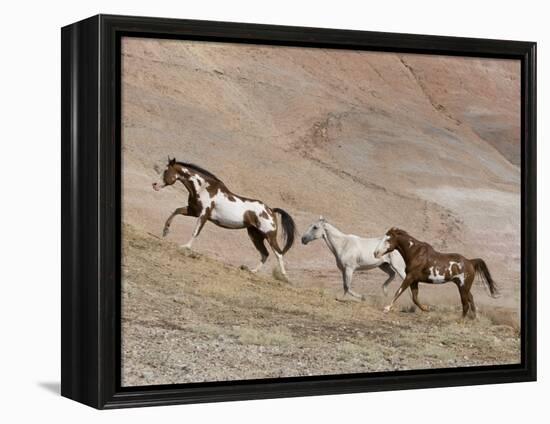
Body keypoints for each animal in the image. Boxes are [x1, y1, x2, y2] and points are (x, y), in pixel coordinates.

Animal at [151, 157, 298, 276]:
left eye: (166, 171)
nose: (154, 185)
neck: (203, 188)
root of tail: (271, 210)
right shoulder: (193, 211)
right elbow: (175, 211)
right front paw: (165, 231)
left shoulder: (203, 215)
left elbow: (195, 231)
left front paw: (185, 247)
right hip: (254, 234)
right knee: (264, 253)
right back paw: (253, 271)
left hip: (269, 235)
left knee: (278, 253)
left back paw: (283, 276)